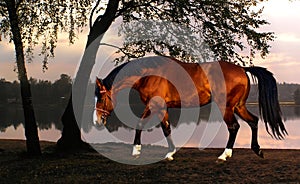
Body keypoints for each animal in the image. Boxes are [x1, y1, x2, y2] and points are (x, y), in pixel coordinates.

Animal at [93, 55, 286, 161]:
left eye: (101, 98)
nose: (96, 121)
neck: (150, 75)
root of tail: (242, 69)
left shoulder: (155, 106)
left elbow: (147, 125)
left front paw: (137, 151)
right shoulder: (158, 107)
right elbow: (165, 128)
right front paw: (169, 153)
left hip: (227, 107)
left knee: (234, 127)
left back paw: (224, 155)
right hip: (239, 106)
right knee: (253, 121)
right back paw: (257, 150)